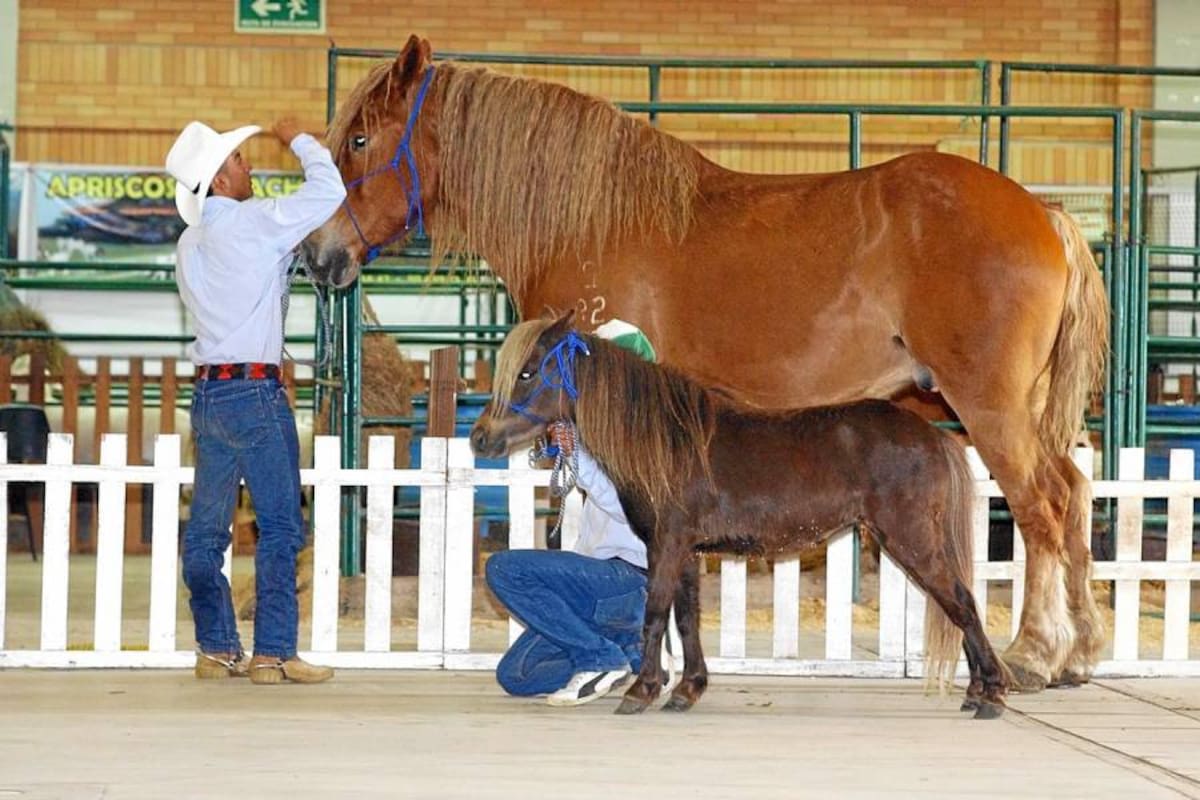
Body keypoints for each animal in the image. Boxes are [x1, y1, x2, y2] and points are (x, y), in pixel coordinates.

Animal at [468, 314, 1008, 719]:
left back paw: (991, 694)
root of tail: (933, 435)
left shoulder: (666, 544)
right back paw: (977, 692)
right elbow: (685, 619)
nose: (479, 437)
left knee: (962, 602)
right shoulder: (685, 552)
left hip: (911, 539)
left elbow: (654, 615)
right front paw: (685, 690)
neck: (666, 440)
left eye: (527, 372)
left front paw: (641, 691)